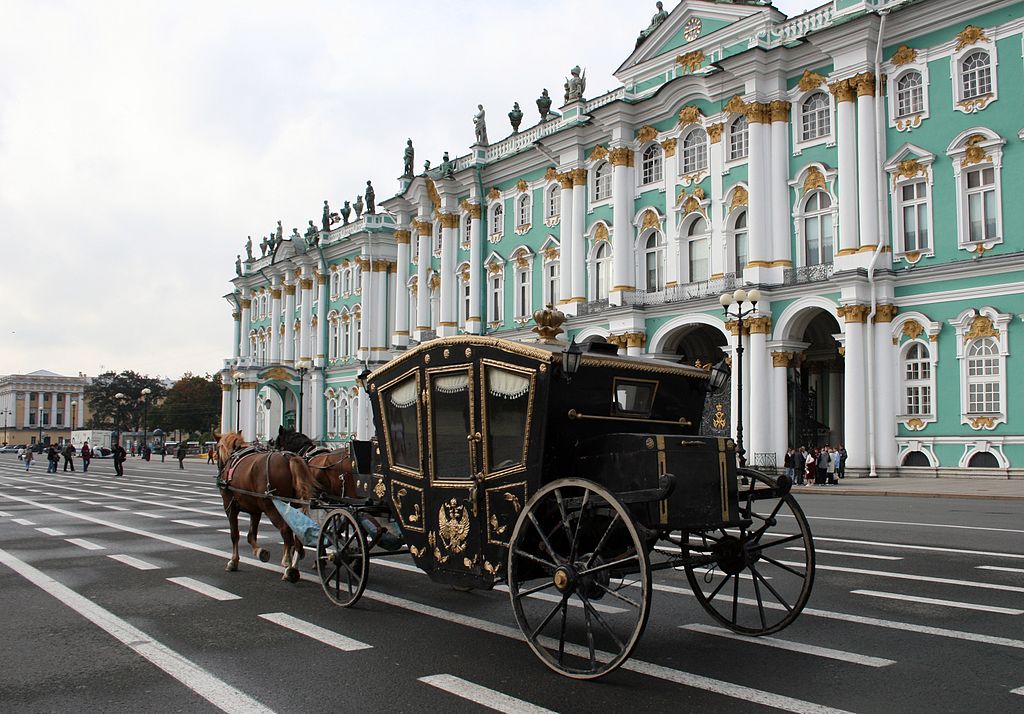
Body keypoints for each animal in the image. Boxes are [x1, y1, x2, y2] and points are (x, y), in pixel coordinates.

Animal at [218, 428, 321, 577]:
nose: (220, 469)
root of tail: (289, 458)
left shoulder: (229, 505)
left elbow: (235, 534)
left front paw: (233, 562)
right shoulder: (255, 510)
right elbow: (250, 535)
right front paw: (261, 552)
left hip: (271, 506)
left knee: (285, 530)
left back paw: (289, 568)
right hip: (295, 505)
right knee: (297, 533)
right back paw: (295, 563)